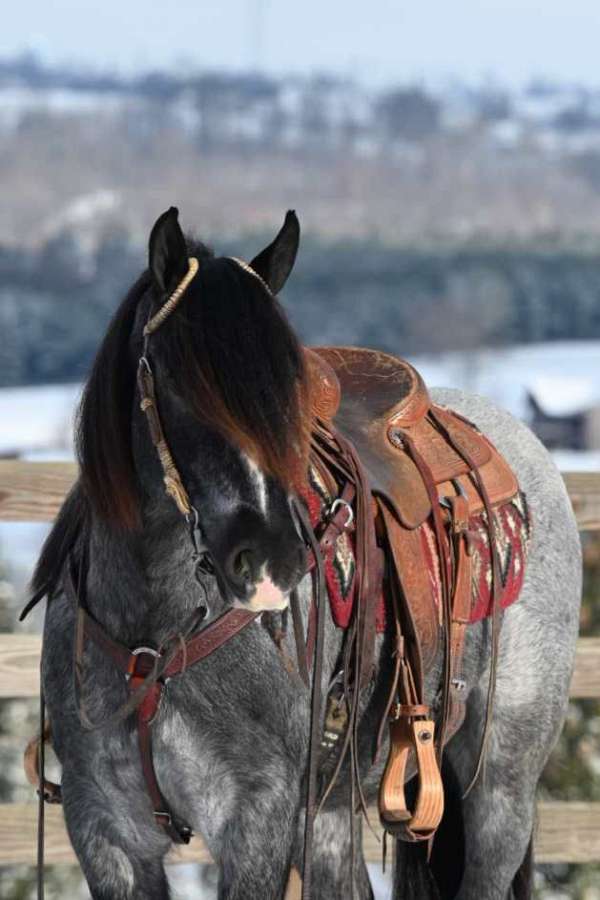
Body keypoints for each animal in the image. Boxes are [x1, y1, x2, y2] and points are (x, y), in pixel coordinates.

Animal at [27, 207, 580, 896]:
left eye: (289, 396)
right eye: (178, 384)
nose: (271, 560)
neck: (155, 636)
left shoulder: (256, 817)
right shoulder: (105, 828)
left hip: (500, 785)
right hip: (333, 812)